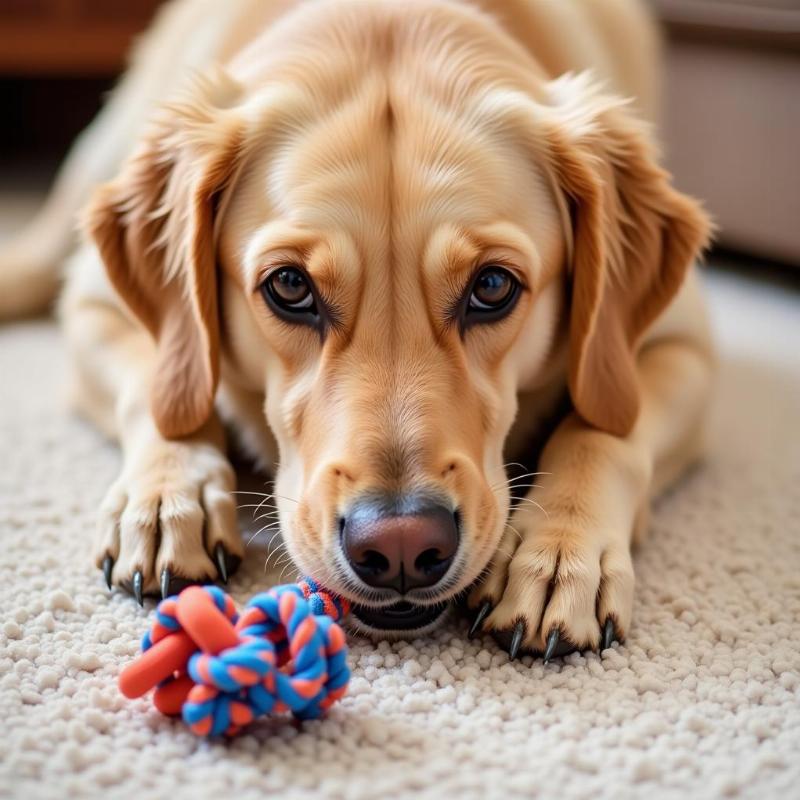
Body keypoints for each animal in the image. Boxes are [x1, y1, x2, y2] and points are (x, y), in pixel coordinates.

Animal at [0, 0, 712, 656]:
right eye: (290, 286)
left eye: (492, 287)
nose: (401, 546)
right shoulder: (95, 306)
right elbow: (162, 392)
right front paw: (168, 498)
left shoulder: (681, 344)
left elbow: (604, 428)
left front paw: (557, 551)